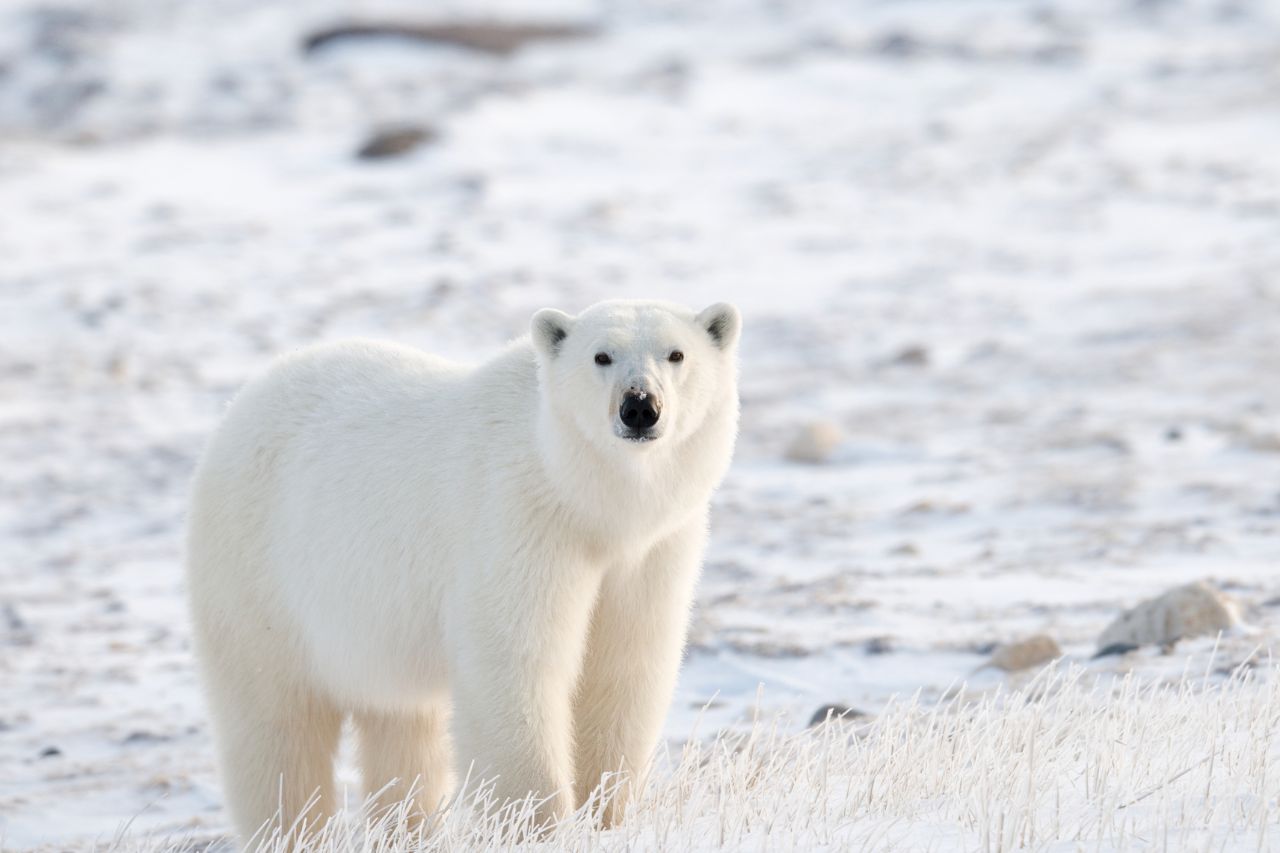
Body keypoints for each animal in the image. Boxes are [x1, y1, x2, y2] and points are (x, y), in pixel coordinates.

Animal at [185, 299, 741, 842]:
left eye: (676, 354)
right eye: (601, 356)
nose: (640, 406)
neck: (586, 501)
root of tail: (244, 401)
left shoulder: (651, 551)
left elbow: (624, 666)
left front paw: (606, 816)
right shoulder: (518, 522)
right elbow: (516, 665)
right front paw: (537, 825)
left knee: (402, 728)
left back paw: (407, 829)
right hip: (259, 579)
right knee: (276, 727)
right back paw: (291, 830)